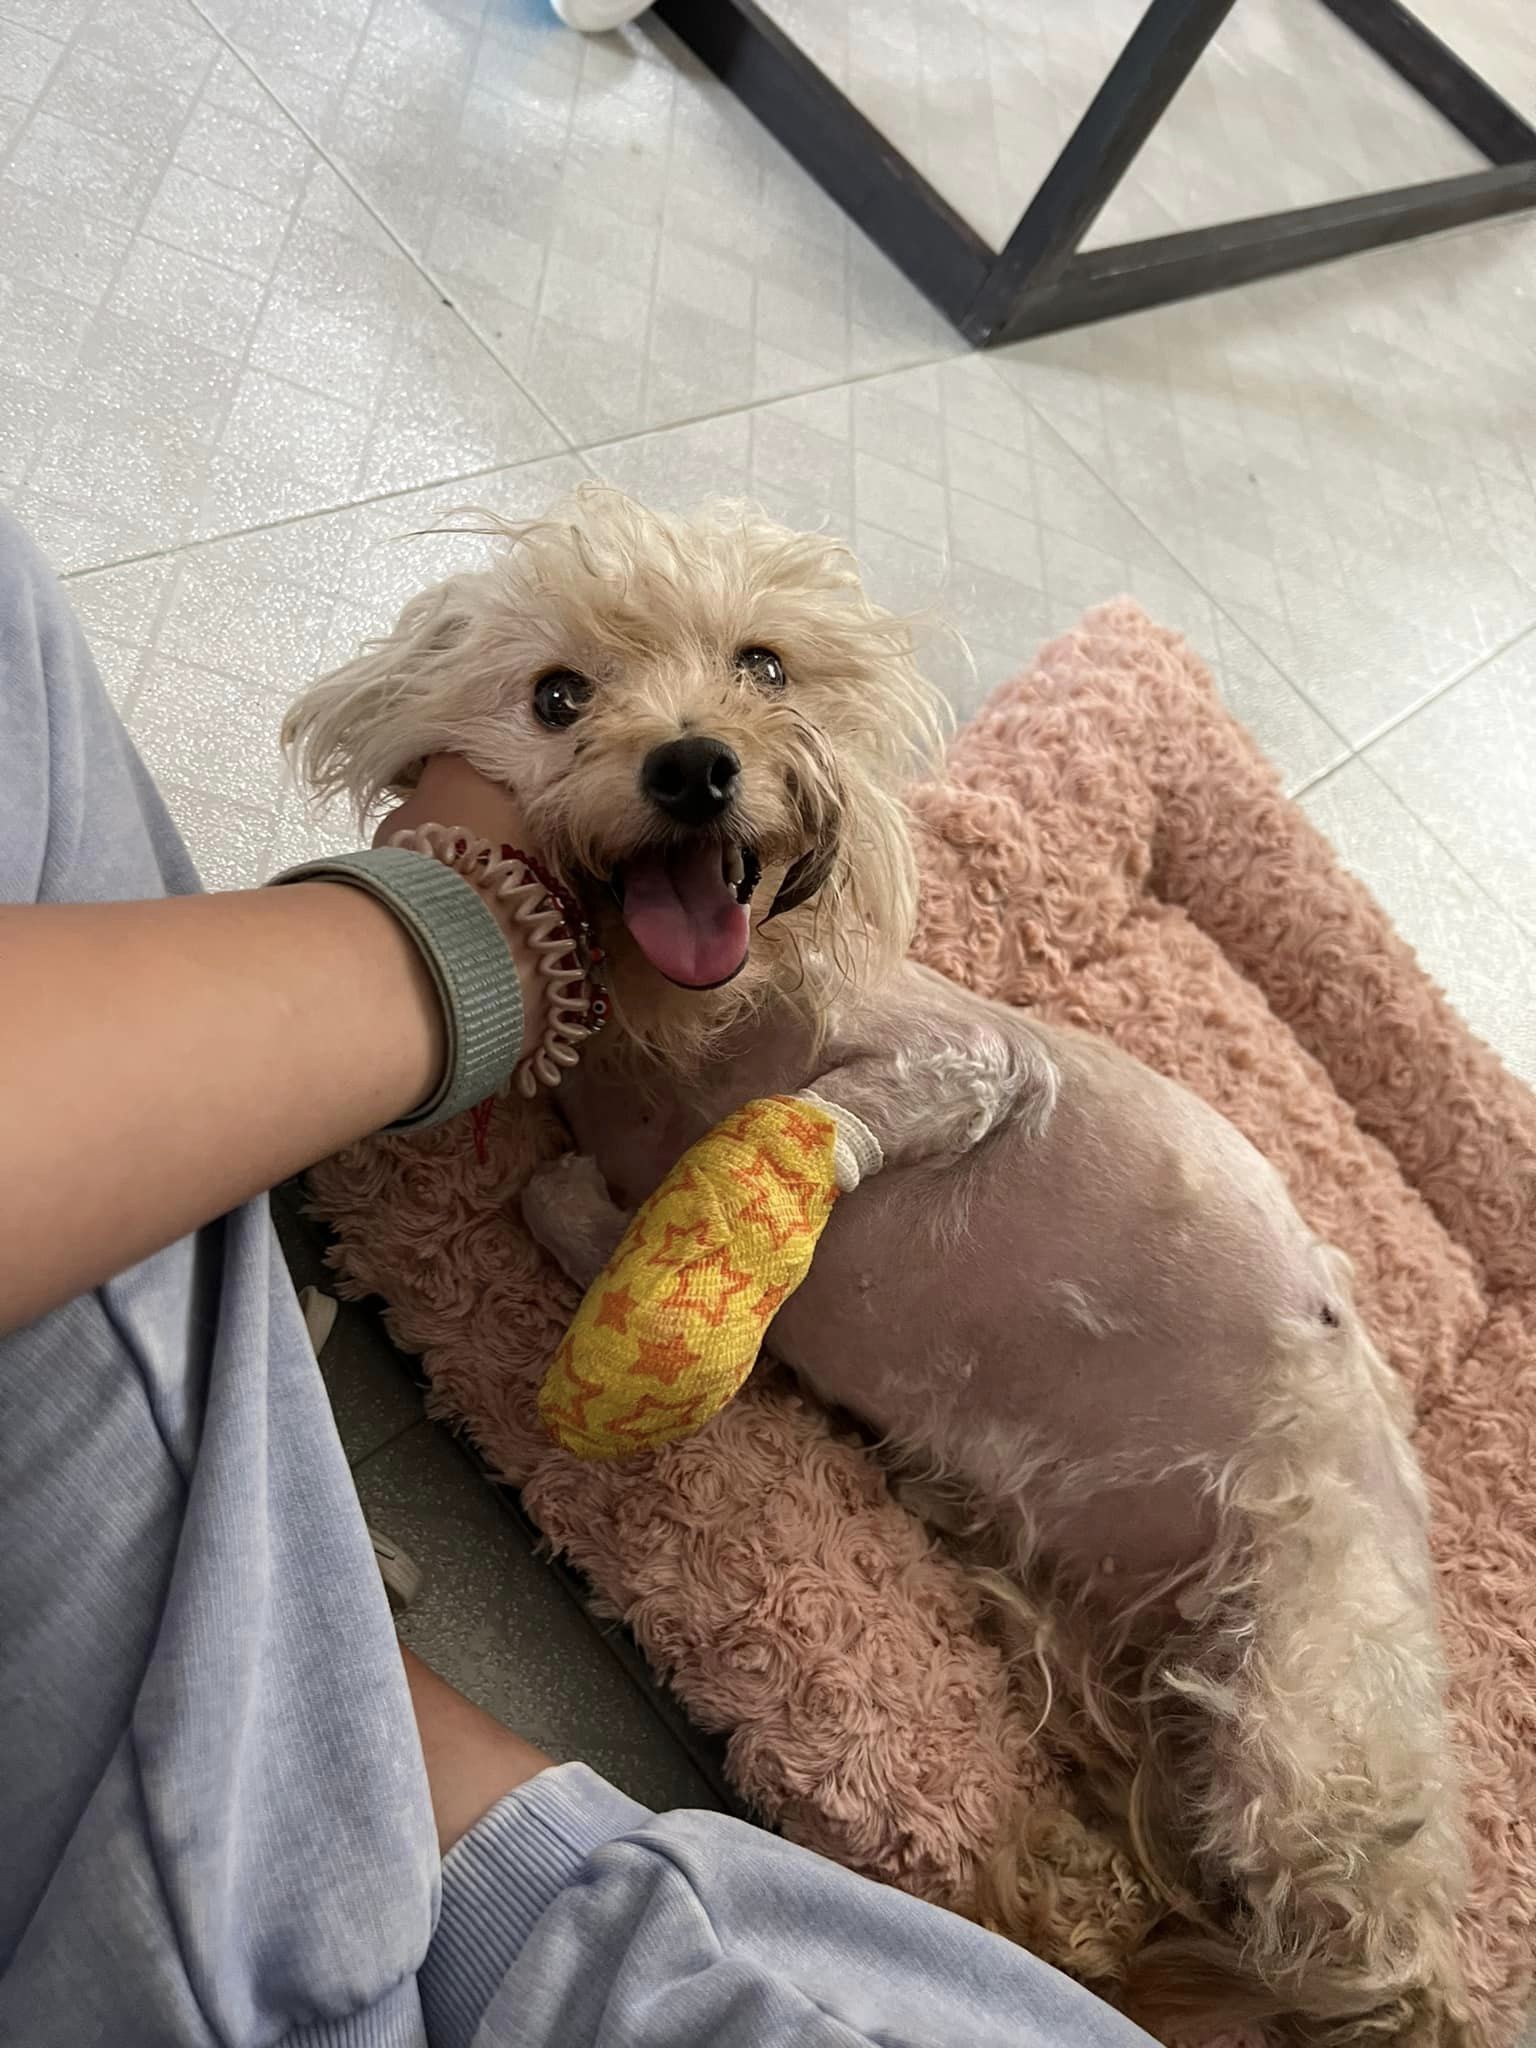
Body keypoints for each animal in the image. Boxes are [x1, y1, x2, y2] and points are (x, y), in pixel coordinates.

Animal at [286, 491, 1466, 2048]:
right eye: (558, 697)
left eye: (765, 665)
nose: (695, 763)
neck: (698, 1028)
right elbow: (585, 1196)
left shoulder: (976, 1064)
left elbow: (798, 1131)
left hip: (1306, 1720)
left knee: (1360, 1965)